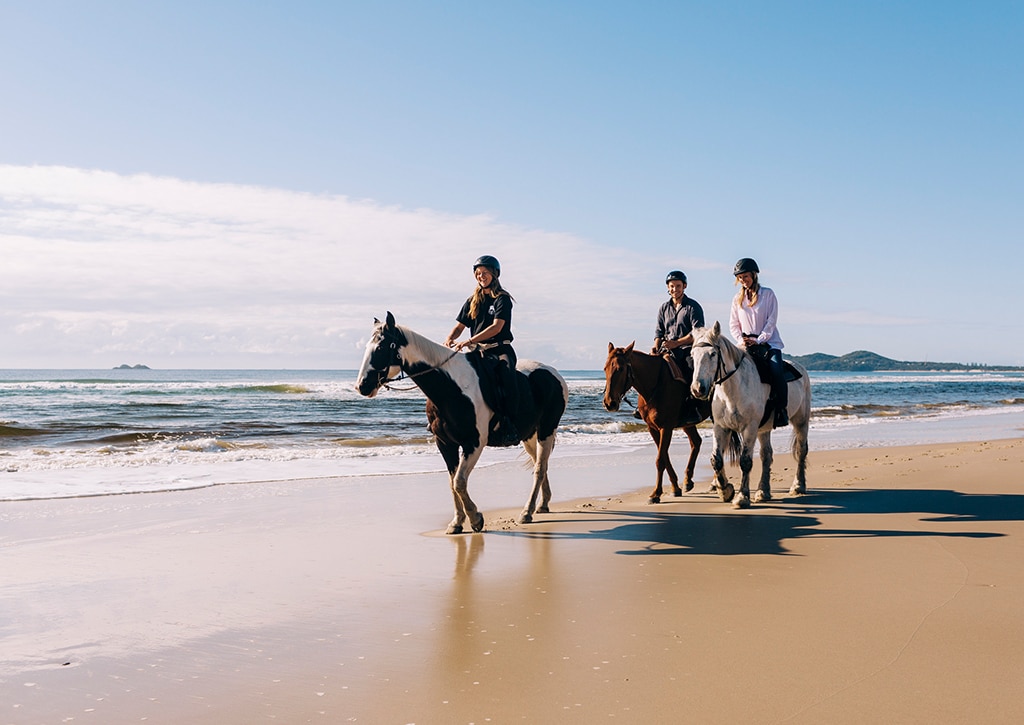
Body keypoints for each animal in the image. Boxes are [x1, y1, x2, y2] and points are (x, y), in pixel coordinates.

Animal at [356, 311, 569, 532]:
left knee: (539, 469)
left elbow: (459, 481)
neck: (452, 388)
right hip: (529, 435)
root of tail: (554, 374)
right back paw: (542, 504)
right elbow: (453, 483)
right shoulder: (445, 443)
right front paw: (457, 522)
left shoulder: (474, 443)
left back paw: (526, 512)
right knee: (540, 464)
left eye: (381, 348)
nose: (362, 386)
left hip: (546, 430)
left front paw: (475, 518)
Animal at [602, 342, 708, 501]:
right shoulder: (652, 428)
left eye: (620, 369)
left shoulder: (666, 428)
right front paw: (675, 488)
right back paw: (688, 481)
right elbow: (664, 456)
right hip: (687, 424)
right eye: (605, 368)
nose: (610, 403)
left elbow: (660, 460)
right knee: (696, 442)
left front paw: (656, 493)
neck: (655, 385)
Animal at [688, 323, 806, 509]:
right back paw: (763, 492)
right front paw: (726, 491)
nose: (697, 389)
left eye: (713, 354)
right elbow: (717, 460)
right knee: (766, 455)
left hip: (801, 420)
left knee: (801, 450)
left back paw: (798, 486)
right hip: (764, 429)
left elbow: (745, 461)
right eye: (692, 355)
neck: (733, 389)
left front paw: (742, 497)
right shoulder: (721, 427)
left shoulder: (749, 428)